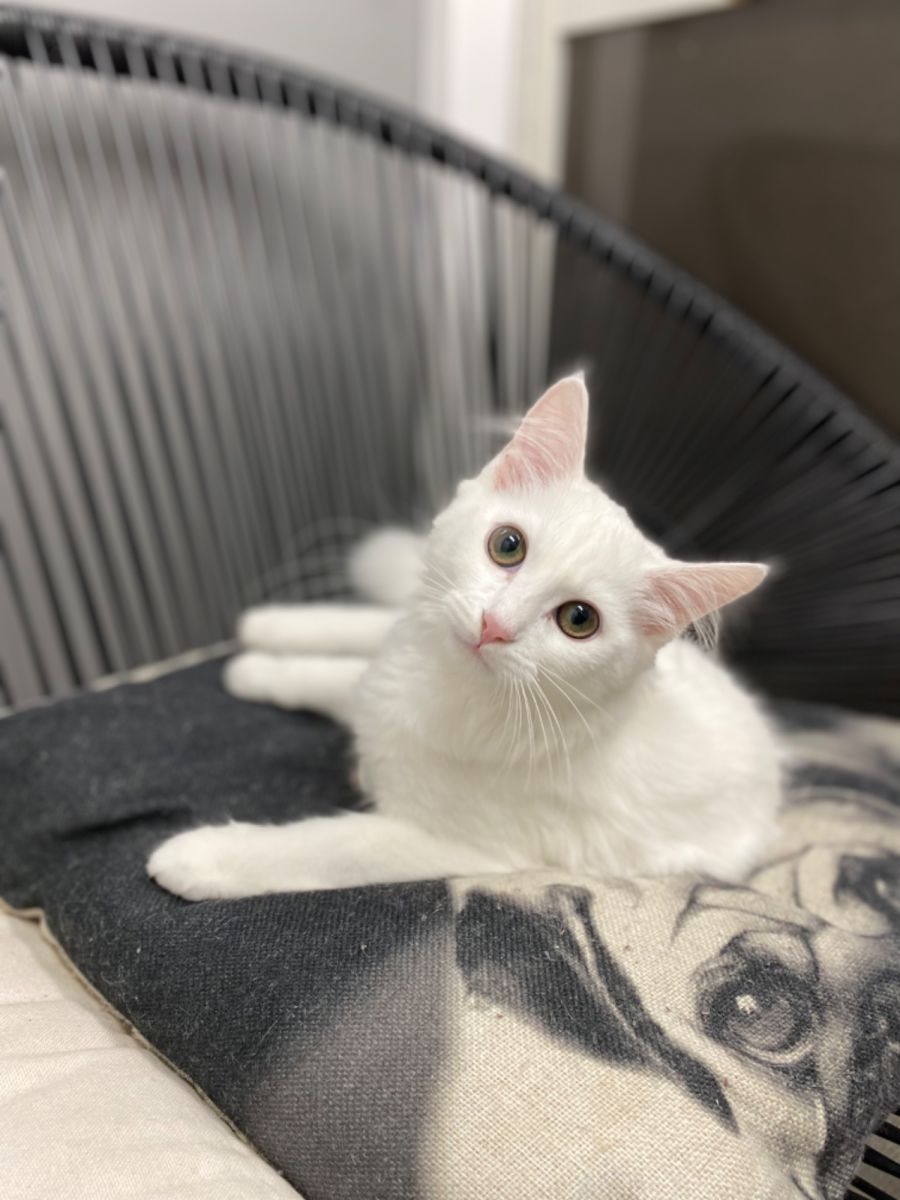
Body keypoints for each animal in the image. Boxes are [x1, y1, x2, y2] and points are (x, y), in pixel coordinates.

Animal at [148, 375, 781, 900]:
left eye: (579, 620)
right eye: (507, 545)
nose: (494, 626)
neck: (445, 688)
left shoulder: (454, 843)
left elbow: (327, 847)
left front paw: (200, 858)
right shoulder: (386, 677)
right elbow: (331, 679)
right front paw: (256, 670)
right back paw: (266, 626)